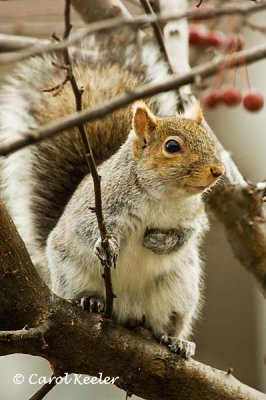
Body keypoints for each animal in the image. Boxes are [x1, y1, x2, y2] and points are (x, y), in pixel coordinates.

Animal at [0, 37, 224, 358]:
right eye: (172, 146)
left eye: (209, 141)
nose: (218, 171)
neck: (163, 196)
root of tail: (127, 314)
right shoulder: (97, 205)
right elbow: (86, 228)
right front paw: (107, 245)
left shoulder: (194, 216)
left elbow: (187, 235)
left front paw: (160, 241)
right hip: (71, 276)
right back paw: (91, 301)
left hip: (178, 291)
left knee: (165, 325)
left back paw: (176, 341)